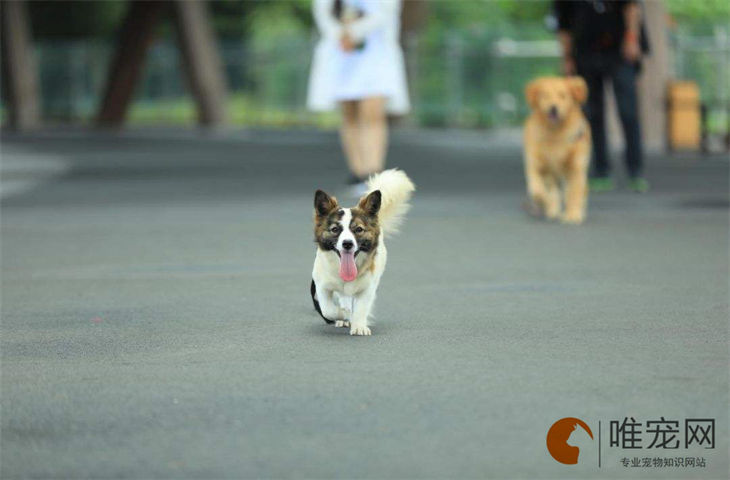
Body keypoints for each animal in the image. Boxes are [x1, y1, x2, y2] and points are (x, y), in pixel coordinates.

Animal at [308, 171, 412, 336]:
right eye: (335, 229)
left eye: (359, 229)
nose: (347, 244)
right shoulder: (321, 286)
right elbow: (328, 310)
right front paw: (344, 315)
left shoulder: (368, 288)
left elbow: (361, 308)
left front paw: (359, 326)